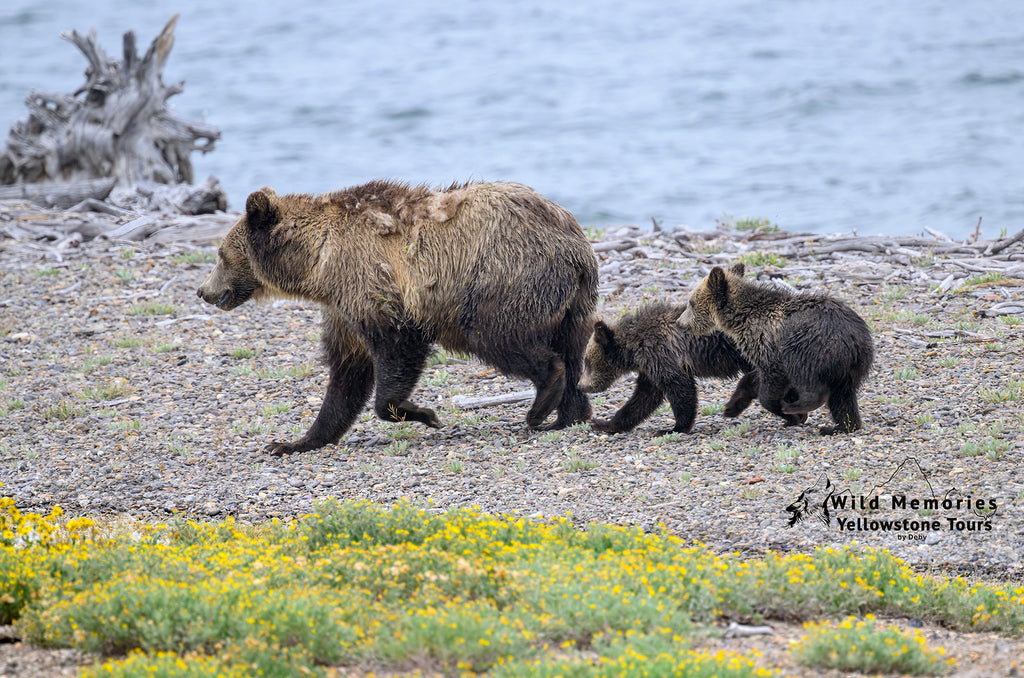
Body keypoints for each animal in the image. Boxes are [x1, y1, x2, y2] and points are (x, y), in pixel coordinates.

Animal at [197, 180, 598, 456]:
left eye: (220, 254)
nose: (204, 291)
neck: (317, 262)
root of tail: (575, 244)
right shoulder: (342, 307)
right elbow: (345, 376)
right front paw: (294, 441)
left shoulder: (372, 281)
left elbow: (396, 348)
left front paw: (421, 412)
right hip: (574, 305)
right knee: (572, 352)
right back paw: (568, 414)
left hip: (500, 280)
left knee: (501, 337)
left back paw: (541, 405)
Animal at [577, 303, 761, 436]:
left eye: (587, 362)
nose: (580, 385)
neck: (633, 348)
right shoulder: (650, 368)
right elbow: (644, 398)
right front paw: (603, 424)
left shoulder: (661, 354)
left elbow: (680, 388)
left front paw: (674, 428)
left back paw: (737, 402)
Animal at [679, 262, 872, 438]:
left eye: (691, 302)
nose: (680, 323)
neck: (740, 318)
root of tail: (854, 340)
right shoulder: (762, 350)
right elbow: (753, 377)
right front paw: (732, 407)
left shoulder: (767, 343)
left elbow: (771, 381)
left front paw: (789, 412)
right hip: (847, 368)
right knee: (842, 397)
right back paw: (840, 427)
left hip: (810, 346)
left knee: (810, 379)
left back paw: (799, 406)